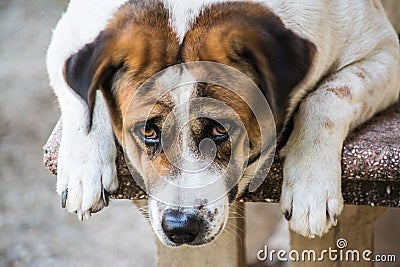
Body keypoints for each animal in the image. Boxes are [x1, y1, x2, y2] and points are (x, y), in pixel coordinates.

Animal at [47, 0, 400, 247]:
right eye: (148, 131)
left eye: (219, 129)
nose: (180, 228)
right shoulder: (67, 36)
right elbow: (82, 96)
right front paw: (83, 170)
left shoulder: (387, 54)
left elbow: (328, 95)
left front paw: (311, 185)